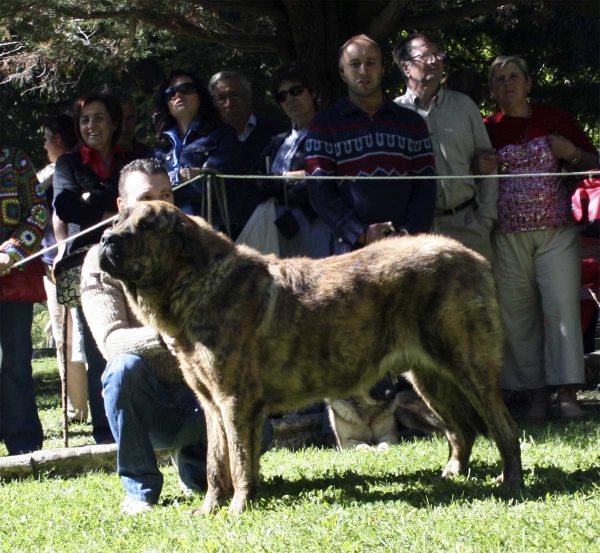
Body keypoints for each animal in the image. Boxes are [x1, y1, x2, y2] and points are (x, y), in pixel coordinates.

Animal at [97, 202, 520, 512]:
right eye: (118, 220)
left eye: (146, 225)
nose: (104, 239)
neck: (196, 282)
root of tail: (474, 257)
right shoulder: (214, 407)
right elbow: (218, 465)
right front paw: (210, 509)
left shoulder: (234, 402)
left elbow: (238, 461)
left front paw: (237, 509)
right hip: (429, 378)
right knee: (461, 431)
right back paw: (452, 475)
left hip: (470, 367)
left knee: (505, 428)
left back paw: (510, 483)